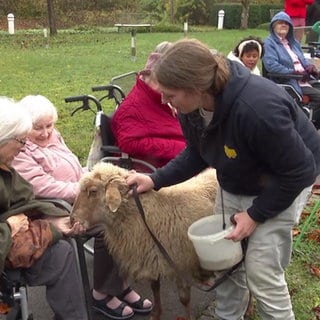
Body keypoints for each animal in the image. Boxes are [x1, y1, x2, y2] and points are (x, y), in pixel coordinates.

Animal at [71, 162, 219, 320]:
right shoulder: (152, 259)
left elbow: (184, 299)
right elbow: (155, 288)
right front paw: (156, 314)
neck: (146, 214)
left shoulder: (181, 264)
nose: (72, 220)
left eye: (93, 191)